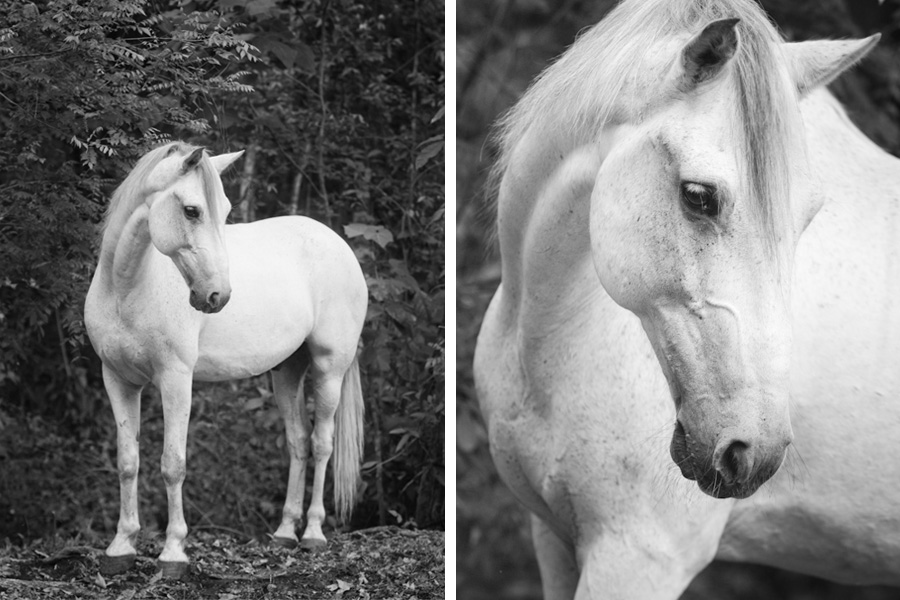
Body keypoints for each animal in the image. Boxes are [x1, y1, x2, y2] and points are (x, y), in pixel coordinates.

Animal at [84, 143, 366, 580]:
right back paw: (285, 532)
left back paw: (313, 534)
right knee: (298, 441)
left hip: (329, 369)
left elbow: (173, 464)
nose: (218, 295)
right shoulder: (117, 380)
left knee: (322, 444)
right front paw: (121, 547)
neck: (126, 290)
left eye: (225, 209)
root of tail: (338, 243)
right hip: (287, 373)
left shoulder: (176, 380)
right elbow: (127, 461)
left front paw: (173, 554)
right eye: (192, 210)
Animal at [472, 0, 900, 596]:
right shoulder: (552, 537)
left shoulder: (638, 558)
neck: (543, 340)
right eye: (698, 196)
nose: (754, 452)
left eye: (810, 215)